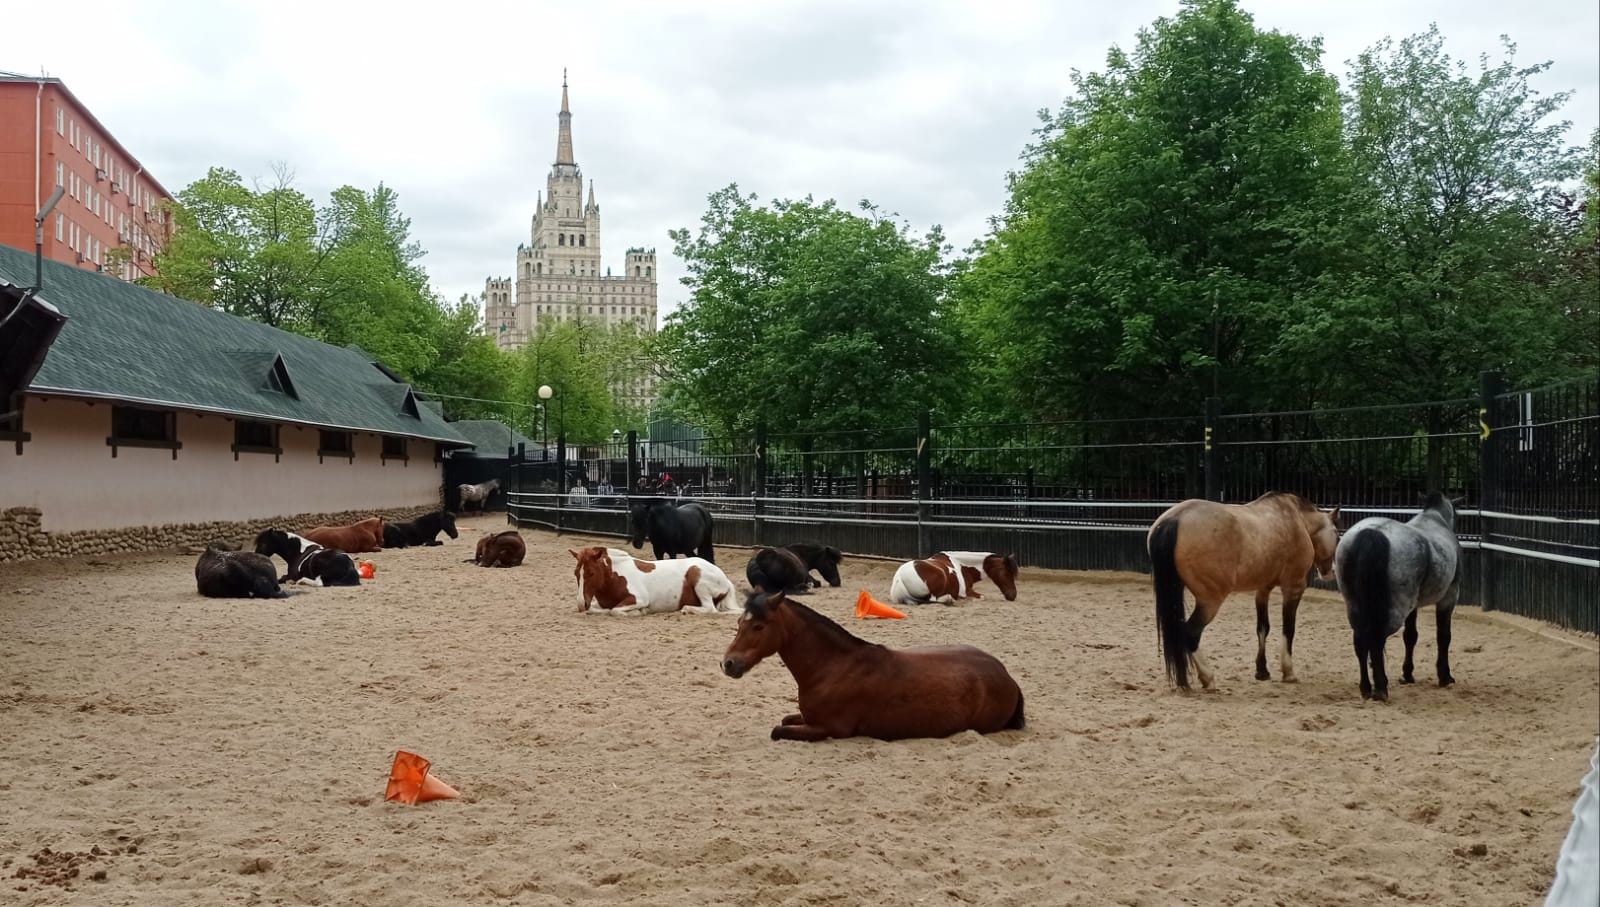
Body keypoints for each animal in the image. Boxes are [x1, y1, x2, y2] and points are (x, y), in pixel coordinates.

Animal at [570, 546, 736, 615]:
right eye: (576, 573)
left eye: (591, 573)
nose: (581, 604)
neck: (614, 578)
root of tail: (725, 580)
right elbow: (597, 609)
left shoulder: (639, 599)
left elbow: (615, 610)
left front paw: (639, 612)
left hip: (697, 577)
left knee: (710, 609)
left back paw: (686, 609)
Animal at [720, 590, 1026, 742]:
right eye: (739, 622)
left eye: (759, 626)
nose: (728, 663)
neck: (833, 667)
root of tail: (1007, 677)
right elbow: (785, 720)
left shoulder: (829, 728)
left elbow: (777, 730)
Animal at [888, 551, 1019, 605]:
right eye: (1007, 574)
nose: (1013, 596)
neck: (962, 566)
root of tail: (899, 578)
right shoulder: (967, 591)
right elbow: (982, 597)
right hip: (939, 578)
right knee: (935, 599)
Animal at [1148, 492, 1340, 692]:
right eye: (1337, 536)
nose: (1330, 572)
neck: (1298, 520)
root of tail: (1174, 519)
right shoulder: (1293, 588)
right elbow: (1288, 629)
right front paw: (1288, 672)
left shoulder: (1263, 589)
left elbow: (1263, 628)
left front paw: (1262, 671)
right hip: (1210, 601)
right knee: (1190, 633)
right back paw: (1208, 678)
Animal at [1335, 493, 1463, 702]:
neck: (1434, 518)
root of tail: (1371, 534)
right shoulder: (1449, 596)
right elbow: (1444, 636)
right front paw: (1445, 676)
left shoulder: (1414, 605)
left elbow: (1410, 636)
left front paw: (1407, 674)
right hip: (1397, 608)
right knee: (1376, 638)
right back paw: (1380, 688)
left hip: (1355, 605)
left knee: (1360, 640)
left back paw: (1366, 688)